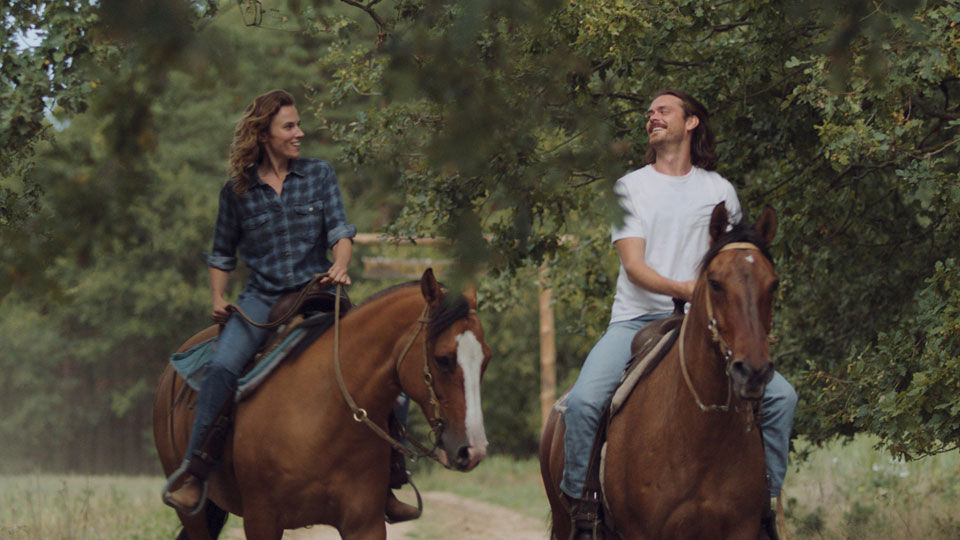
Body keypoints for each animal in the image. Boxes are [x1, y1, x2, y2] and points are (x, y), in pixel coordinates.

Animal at [156, 270, 496, 540]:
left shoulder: (365, 524)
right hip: (194, 514)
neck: (324, 415)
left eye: (486, 360)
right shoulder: (262, 520)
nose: (473, 450)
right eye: (442, 359)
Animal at [540, 205, 780, 536]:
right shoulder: (643, 532)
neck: (699, 434)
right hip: (565, 520)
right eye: (715, 282)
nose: (753, 371)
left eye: (773, 284)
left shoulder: (740, 529)